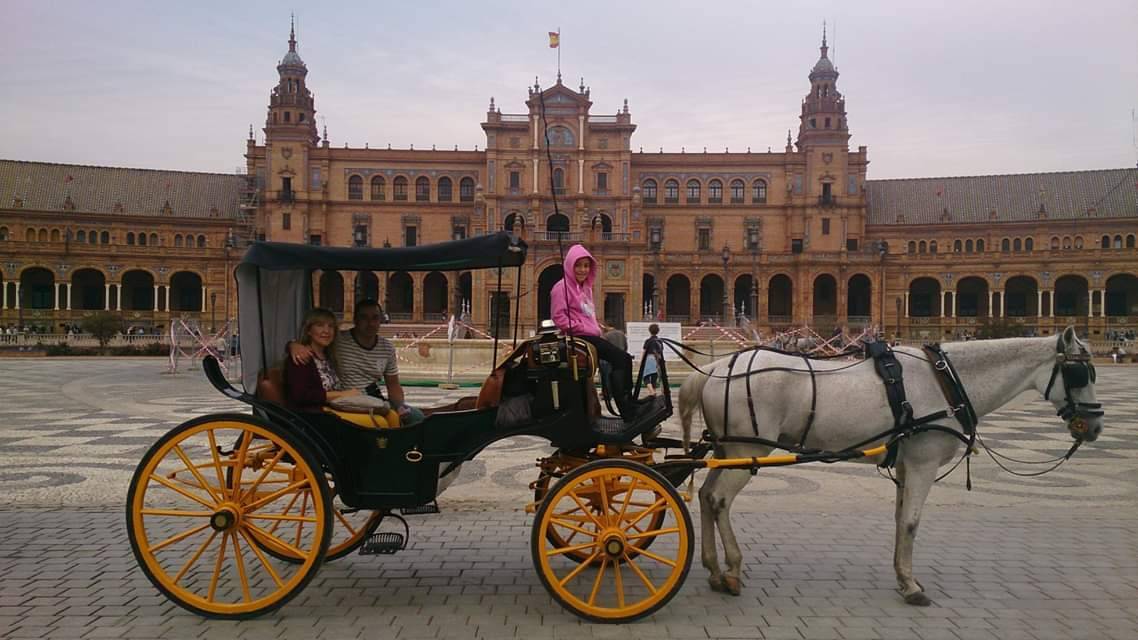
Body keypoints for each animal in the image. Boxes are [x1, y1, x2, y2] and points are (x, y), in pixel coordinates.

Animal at [678, 325, 1106, 605]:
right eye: (1079, 372)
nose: (1096, 426)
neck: (945, 382)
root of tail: (714, 368)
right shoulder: (923, 464)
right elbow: (913, 522)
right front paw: (912, 586)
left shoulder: (905, 464)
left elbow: (901, 519)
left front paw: (902, 577)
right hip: (747, 450)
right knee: (718, 499)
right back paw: (732, 570)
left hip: (729, 450)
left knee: (705, 495)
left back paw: (714, 569)